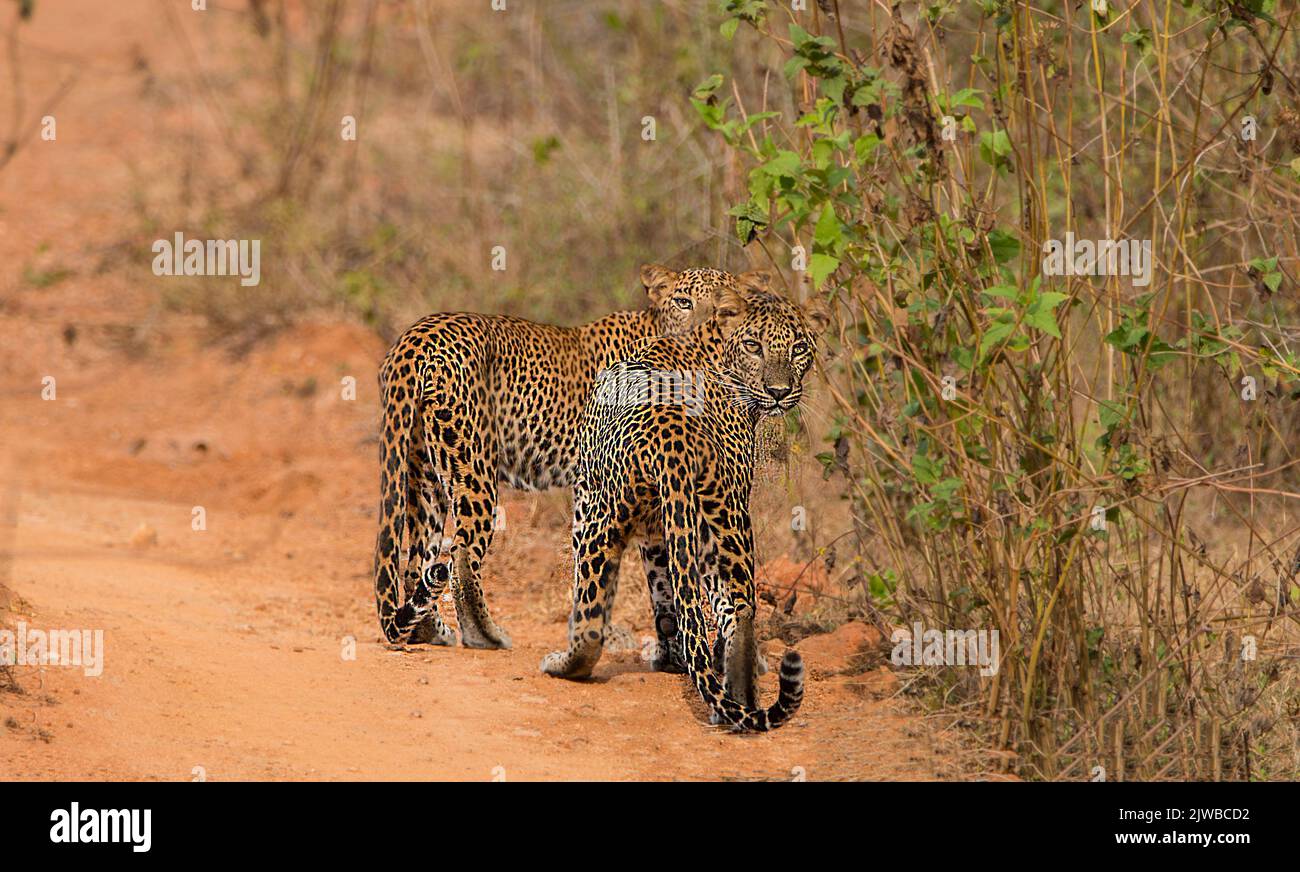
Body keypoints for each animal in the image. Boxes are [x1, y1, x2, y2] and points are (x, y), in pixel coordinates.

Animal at [371, 263, 769, 647]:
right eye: (684, 302)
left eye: (723, 307)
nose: (702, 329)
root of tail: (419, 334)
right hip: (473, 466)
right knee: (462, 554)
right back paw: (484, 634)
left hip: (426, 473)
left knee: (417, 561)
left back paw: (430, 632)